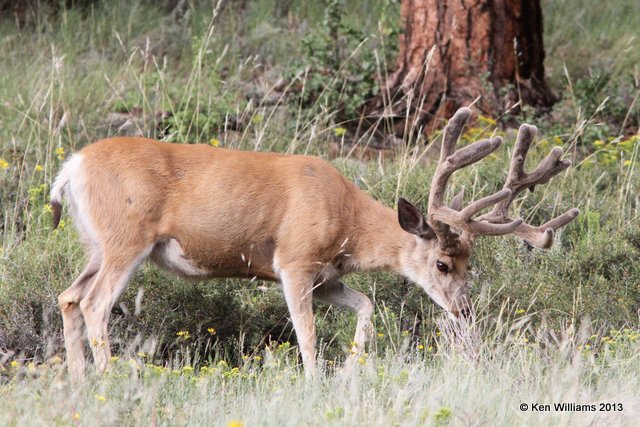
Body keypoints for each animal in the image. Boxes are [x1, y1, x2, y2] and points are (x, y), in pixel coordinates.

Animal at [51, 107, 580, 382]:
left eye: (471, 262)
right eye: (444, 264)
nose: (464, 311)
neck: (347, 220)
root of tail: (70, 169)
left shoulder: (327, 276)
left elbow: (366, 304)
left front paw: (351, 368)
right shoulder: (294, 259)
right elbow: (305, 333)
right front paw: (316, 381)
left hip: (96, 246)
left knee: (69, 296)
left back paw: (80, 384)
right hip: (127, 238)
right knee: (96, 303)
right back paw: (111, 379)